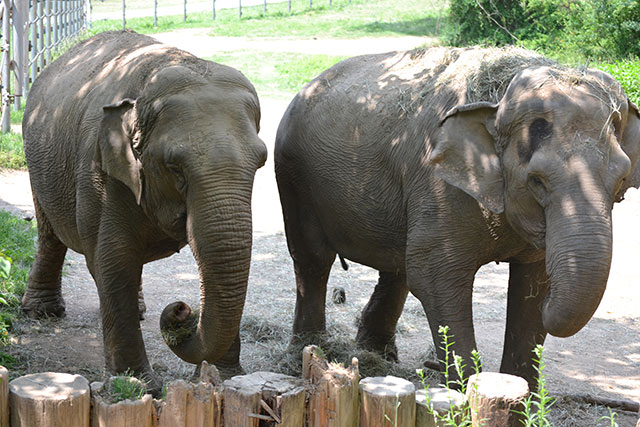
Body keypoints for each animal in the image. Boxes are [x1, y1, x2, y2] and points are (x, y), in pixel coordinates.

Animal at [22, 30, 268, 392]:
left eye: (261, 161)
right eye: (175, 168)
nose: (181, 309)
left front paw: (227, 378)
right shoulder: (100, 172)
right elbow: (115, 260)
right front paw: (139, 385)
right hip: (38, 167)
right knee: (50, 234)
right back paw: (42, 313)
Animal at [276, 47, 640, 388]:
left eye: (622, 182)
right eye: (537, 181)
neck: (498, 96)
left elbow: (532, 284)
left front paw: (521, 400)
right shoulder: (439, 185)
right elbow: (435, 274)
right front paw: (465, 392)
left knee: (397, 266)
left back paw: (375, 355)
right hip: (294, 176)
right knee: (314, 259)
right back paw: (309, 350)